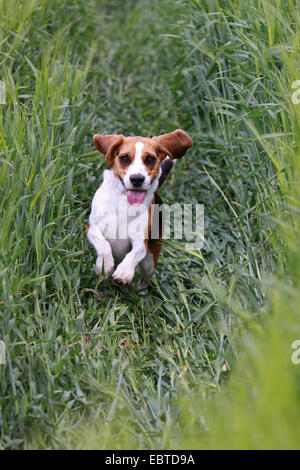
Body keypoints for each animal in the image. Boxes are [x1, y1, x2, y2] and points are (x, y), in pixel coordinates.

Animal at [86, 129, 192, 290]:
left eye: (150, 159)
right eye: (124, 158)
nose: (137, 179)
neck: (124, 202)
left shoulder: (141, 241)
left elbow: (134, 253)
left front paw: (124, 272)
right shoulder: (92, 228)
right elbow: (104, 245)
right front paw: (104, 265)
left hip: (150, 263)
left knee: (146, 275)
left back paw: (141, 289)